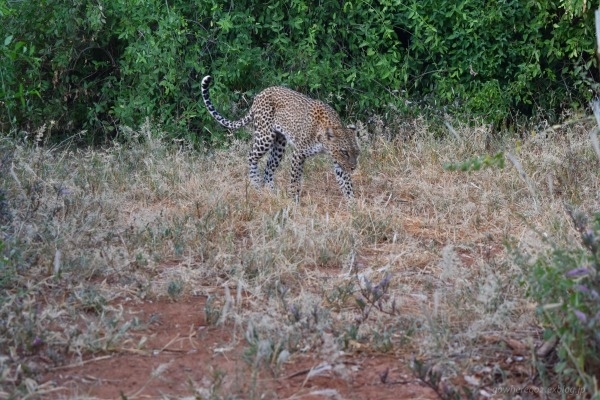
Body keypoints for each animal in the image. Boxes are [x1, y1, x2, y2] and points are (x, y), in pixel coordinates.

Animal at [202, 74, 360, 202]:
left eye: (356, 152)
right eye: (344, 152)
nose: (353, 167)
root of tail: (260, 95)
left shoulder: (338, 161)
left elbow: (346, 183)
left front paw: (353, 205)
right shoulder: (299, 154)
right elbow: (295, 180)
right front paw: (294, 201)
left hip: (279, 144)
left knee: (268, 168)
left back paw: (272, 192)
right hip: (265, 136)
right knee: (251, 156)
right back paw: (256, 184)